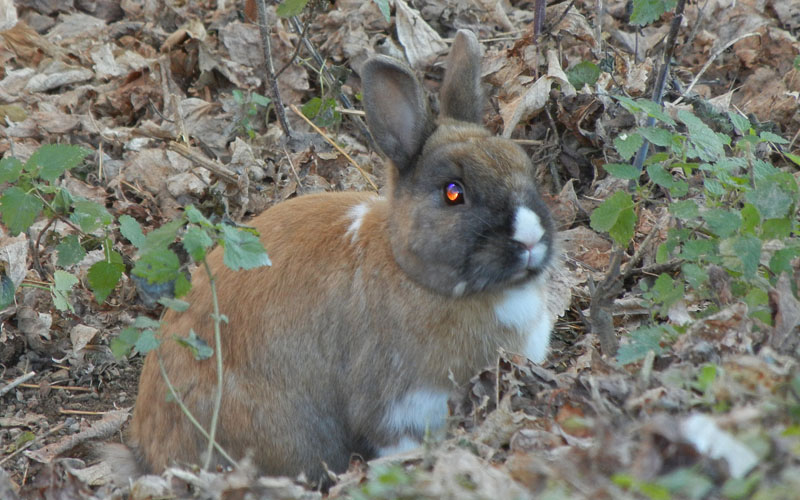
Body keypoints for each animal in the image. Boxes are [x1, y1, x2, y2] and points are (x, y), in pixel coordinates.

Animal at [120, 30, 556, 484]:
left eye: (524, 165)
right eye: (454, 193)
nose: (529, 236)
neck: (411, 271)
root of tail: (149, 455)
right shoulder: (398, 406)